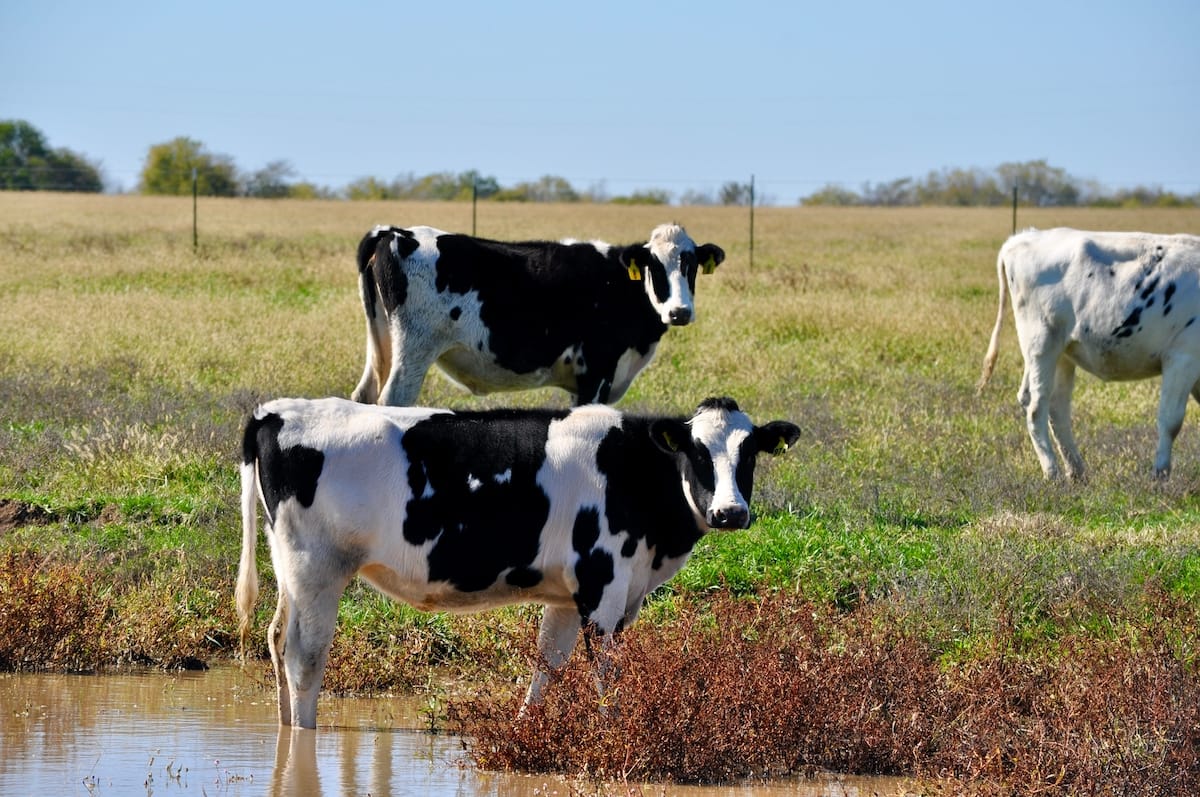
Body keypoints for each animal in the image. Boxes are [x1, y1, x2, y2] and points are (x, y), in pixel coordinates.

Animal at [234, 396, 796, 724]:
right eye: (697, 453)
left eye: (749, 454)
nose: (730, 512)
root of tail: (275, 411)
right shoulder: (602, 586)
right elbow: (606, 678)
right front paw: (612, 735)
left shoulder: (569, 598)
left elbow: (547, 667)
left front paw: (526, 731)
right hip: (318, 572)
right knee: (304, 657)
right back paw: (303, 735)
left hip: (290, 569)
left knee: (276, 638)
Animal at [348, 224, 720, 410]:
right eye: (653, 266)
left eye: (691, 266)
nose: (679, 312)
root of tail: (395, 232)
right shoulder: (596, 371)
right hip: (413, 352)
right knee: (393, 400)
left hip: (380, 342)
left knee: (364, 396)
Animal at [974, 229, 1200, 480]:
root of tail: (1024, 237)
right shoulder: (1183, 357)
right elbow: (1171, 420)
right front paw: (1160, 475)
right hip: (1041, 344)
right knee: (1036, 407)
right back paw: (1052, 472)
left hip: (1060, 353)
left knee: (1055, 406)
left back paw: (1076, 470)